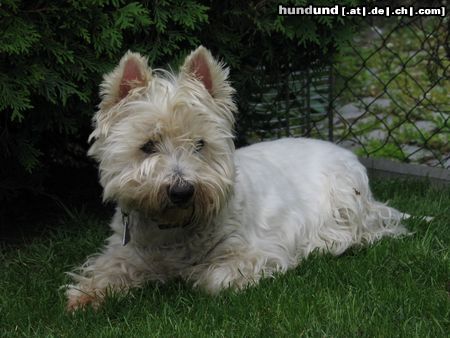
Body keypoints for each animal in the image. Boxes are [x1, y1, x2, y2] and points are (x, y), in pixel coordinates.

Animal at [64, 46, 408, 310]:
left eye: (200, 144)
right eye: (148, 146)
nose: (181, 191)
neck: (173, 228)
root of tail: (344, 151)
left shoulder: (256, 251)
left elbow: (212, 279)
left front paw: (192, 276)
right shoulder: (127, 250)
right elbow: (110, 268)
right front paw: (84, 296)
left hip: (345, 198)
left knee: (364, 229)